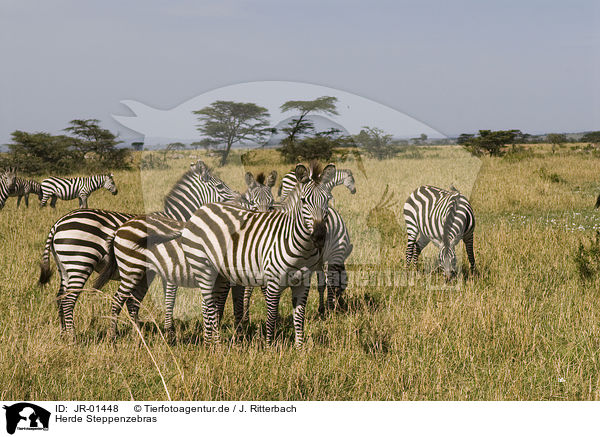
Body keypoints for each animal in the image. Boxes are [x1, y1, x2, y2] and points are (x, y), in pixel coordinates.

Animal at [37, 162, 234, 336]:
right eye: (220, 186)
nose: (240, 198)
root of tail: (58, 223)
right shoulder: (170, 266)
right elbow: (169, 299)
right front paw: (169, 332)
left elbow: (137, 302)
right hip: (80, 261)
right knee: (69, 300)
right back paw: (73, 337)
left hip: (65, 266)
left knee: (60, 297)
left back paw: (64, 334)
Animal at [93, 169, 278, 338]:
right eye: (219, 185)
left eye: (272, 205)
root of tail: (120, 228)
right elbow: (217, 305)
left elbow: (234, 304)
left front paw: (239, 333)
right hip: (129, 269)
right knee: (118, 300)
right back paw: (112, 336)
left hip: (143, 272)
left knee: (132, 301)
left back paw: (138, 336)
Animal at [176, 162, 338, 346]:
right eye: (304, 201)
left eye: (327, 200)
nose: (319, 236)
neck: (302, 248)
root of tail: (203, 208)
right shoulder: (273, 282)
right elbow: (271, 317)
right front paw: (269, 347)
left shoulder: (303, 283)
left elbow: (299, 318)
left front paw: (300, 348)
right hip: (203, 267)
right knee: (209, 307)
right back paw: (215, 345)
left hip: (220, 274)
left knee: (208, 306)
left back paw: (208, 341)